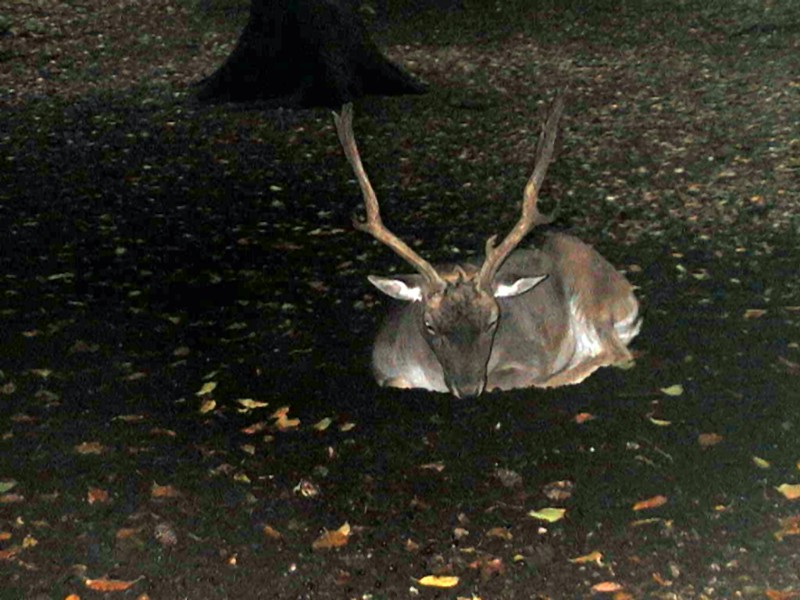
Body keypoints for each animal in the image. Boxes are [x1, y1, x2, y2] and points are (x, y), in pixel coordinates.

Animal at [334, 97, 640, 398]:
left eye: (493, 320)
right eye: (430, 324)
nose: (468, 389)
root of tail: (629, 298)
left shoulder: (529, 358)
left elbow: (501, 382)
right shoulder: (383, 371)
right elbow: (395, 381)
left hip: (592, 296)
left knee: (618, 353)